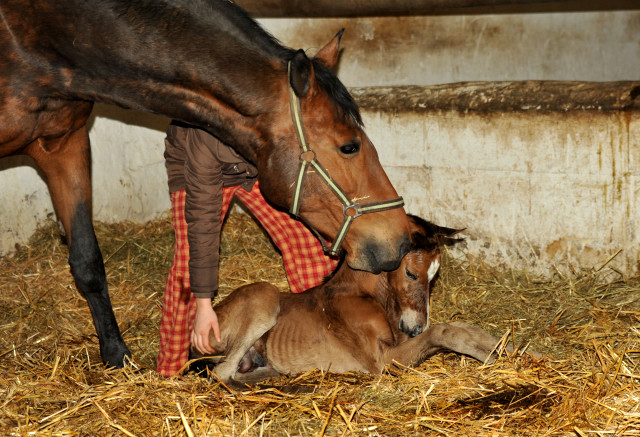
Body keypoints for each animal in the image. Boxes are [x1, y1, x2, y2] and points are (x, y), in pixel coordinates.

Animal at [198, 216, 508, 384]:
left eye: (435, 277)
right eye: (410, 273)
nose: (416, 327)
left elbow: (463, 327)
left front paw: (507, 350)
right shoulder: (383, 361)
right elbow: (445, 332)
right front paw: (491, 355)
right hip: (265, 297)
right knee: (221, 373)